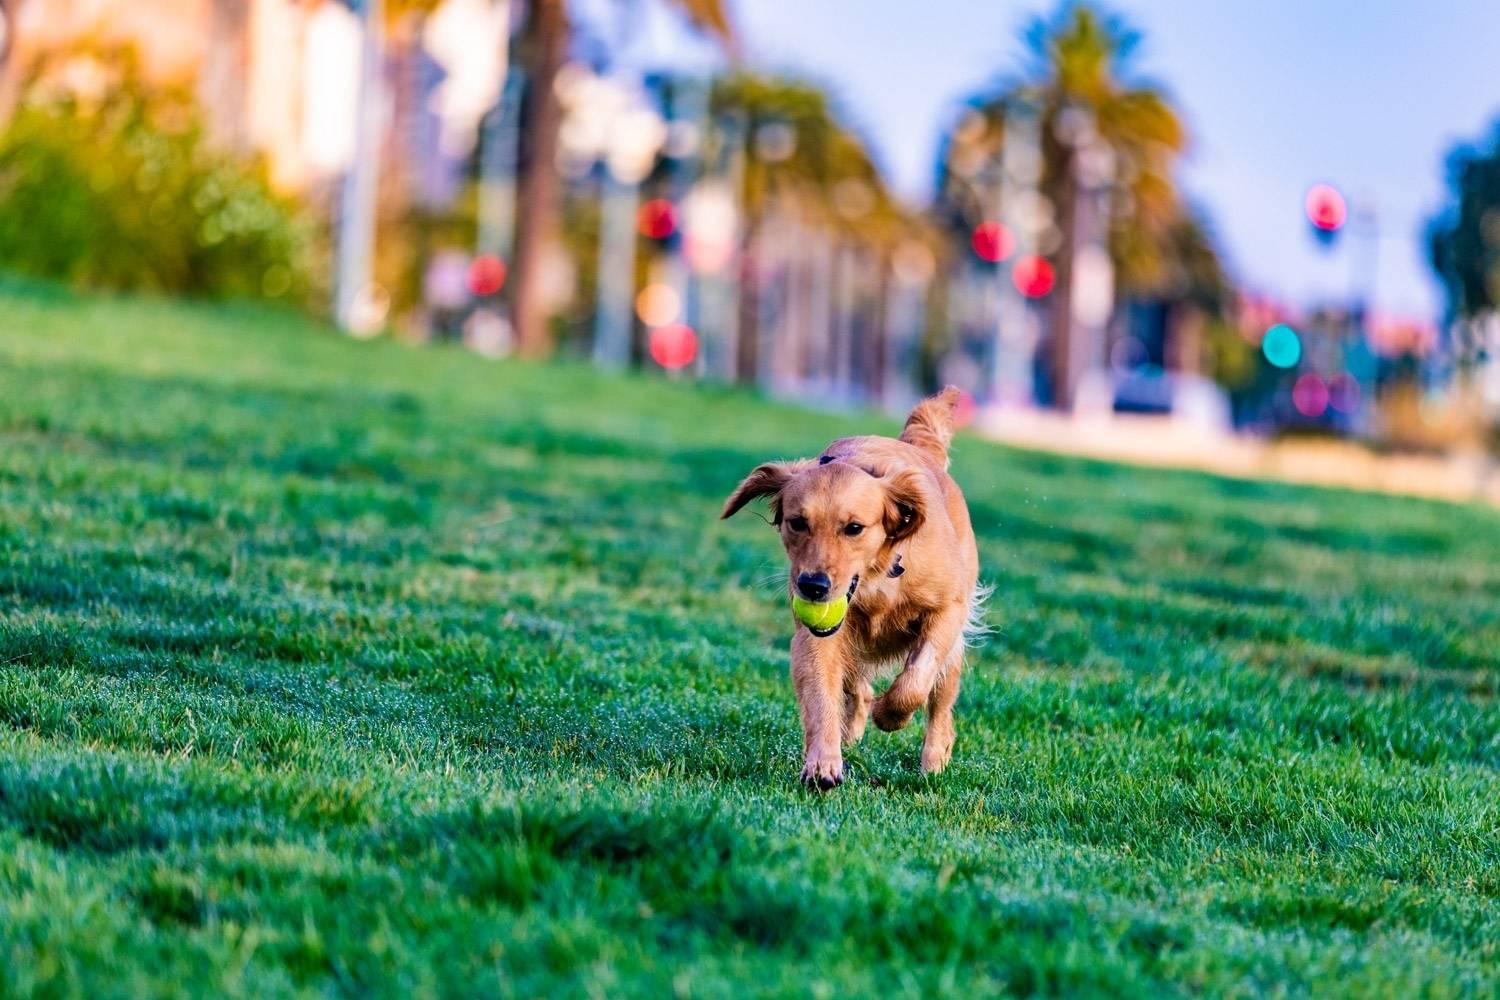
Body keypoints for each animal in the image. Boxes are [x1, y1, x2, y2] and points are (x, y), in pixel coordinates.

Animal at [723, 386, 984, 785]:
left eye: (854, 528)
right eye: (798, 522)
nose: (813, 586)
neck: (877, 577)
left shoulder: (946, 610)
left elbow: (914, 679)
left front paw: (890, 715)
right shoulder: (818, 635)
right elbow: (820, 695)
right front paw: (822, 763)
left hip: (953, 647)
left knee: (939, 705)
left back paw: (933, 761)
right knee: (856, 686)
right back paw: (851, 729)